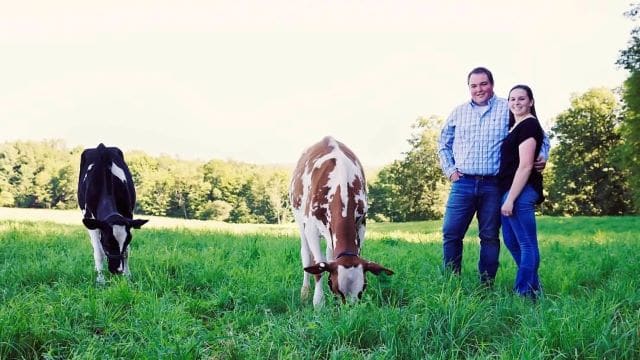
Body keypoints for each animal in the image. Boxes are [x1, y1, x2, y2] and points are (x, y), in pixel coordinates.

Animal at [78, 143, 148, 284]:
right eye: (107, 243)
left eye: (126, 241)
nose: (118, 270)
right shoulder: (91, 220)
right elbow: (99, 253)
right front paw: (100, 280)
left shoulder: (128, 215)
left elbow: (127, 252)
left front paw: (127, 276)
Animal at [288, 136, 390, 308]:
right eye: (334, 286)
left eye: (363, 287)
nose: (350, 310)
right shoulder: (311, 228)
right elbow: (319, 266)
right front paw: (318, 303)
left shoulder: (361, 224)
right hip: (300, 221)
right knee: (306, 255)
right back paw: (305, 292)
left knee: (329, 253)